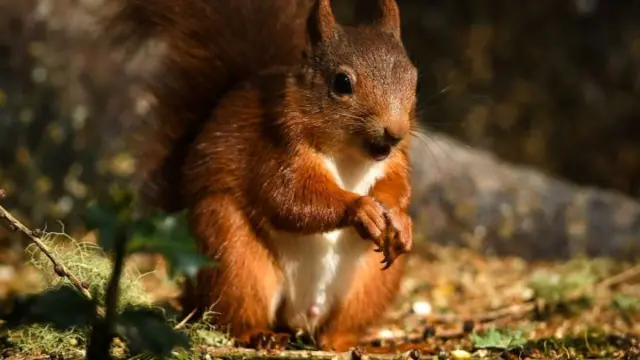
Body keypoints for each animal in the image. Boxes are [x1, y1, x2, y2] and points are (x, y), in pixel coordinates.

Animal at [107, 0, 418, 352]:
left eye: (414, 78)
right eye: (342, 83)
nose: (395, 132)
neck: (351, 157)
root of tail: (301, 316)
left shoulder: (395, 161)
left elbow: (397, 187)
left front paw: (399, 219)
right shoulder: (274, 148)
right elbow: (289, 199)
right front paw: (360, 208)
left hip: (371, 286)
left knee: (336, 330)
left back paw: (354, 342)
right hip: (232, 253)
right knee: (235, 314)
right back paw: (260, 335)